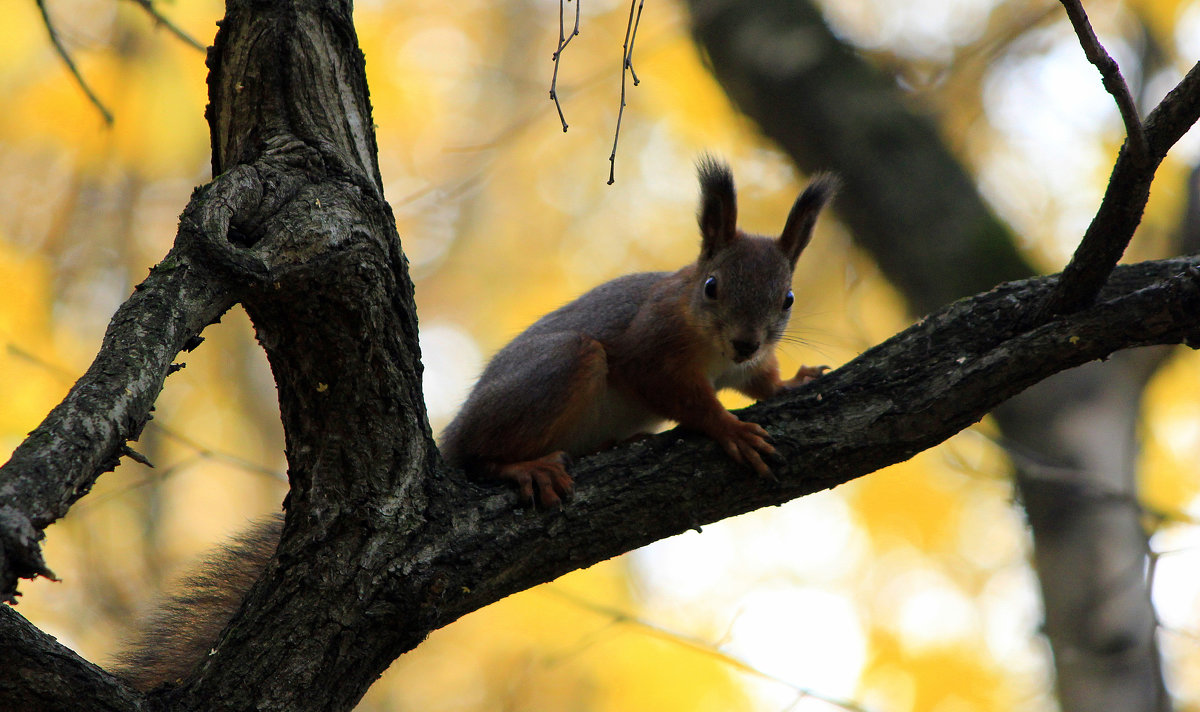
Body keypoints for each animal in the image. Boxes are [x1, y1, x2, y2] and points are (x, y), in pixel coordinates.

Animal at [439, 158, 835, 509]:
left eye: (788, 299)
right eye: (711, 286)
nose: (746, 343)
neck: (716, 352)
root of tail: (452, 433)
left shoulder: (750, 363)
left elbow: (763, 380)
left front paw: (792, 382)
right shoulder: (651, 347)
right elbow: (684, 397)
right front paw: (730, 428)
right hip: (560, 363)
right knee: (476, 457)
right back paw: (524, 468)